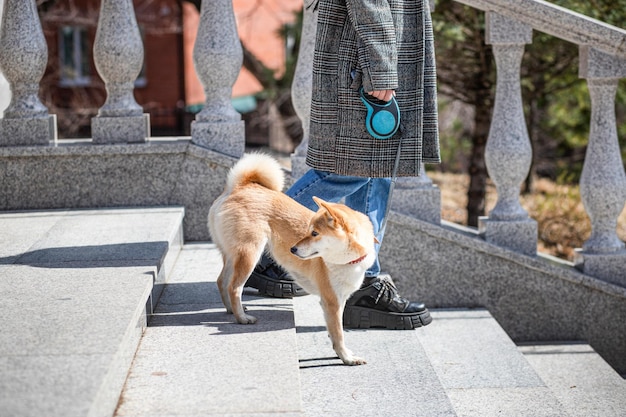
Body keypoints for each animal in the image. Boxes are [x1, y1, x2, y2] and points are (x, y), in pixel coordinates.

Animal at [210, 154, 376, 364]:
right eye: (309, 231)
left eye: (314, 233)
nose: (292, 249)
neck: (344, 262)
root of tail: (238, 186)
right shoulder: (331, 301)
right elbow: (339, 334)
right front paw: (346, 357)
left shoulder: (340, 300)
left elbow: (333, 331)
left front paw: (341, 352)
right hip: (249, 254)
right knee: (234, 287)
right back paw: (242, 318)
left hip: (233, 255)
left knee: (222, 281)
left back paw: (232, 310)